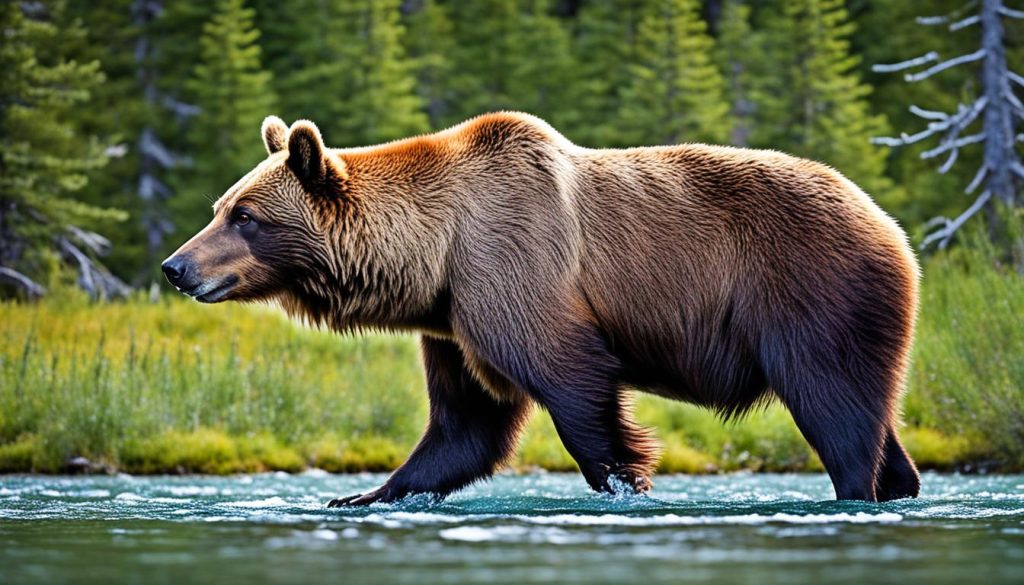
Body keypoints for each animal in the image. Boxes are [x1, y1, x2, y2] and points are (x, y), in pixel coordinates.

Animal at [165, 112, 921, 506]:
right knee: (869, 413)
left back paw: (855, 490)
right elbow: (464, 424)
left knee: (834, 408)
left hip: (812, 293)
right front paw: (363, 494)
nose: (177, 266)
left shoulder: (510, 267)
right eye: (219, 207)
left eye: (245, 216)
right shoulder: (454, 323)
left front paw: (625, 477)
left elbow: (573, 382)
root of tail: (892, 227)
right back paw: (899, 484)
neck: (435, 255)